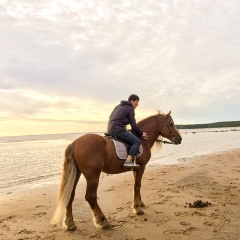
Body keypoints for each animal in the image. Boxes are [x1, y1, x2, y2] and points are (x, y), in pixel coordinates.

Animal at [51, 111, 182, 230]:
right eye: (171, 124)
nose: (180, 139)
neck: (142, 139)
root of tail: (75, 142)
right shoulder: (141, 167)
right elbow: (137, 186)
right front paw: (137, 208)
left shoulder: (136, 169)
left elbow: (137, 186)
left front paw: (140, 203)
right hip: (93, 175)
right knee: (91, 197)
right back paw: (103, 221)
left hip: (77, 173)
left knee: (70, 195)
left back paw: (70, 223)